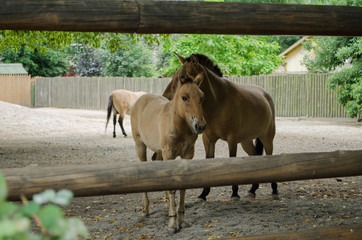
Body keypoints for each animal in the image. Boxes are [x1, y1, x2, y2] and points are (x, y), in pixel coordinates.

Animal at [130, 76, 205, 232]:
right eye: (184, 97)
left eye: (202, 97)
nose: (200, 126)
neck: (178, 125)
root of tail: (141, 99)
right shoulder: (169, 154)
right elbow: (172, 188)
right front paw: (172, 223)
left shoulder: (188, 155)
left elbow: (182, 187)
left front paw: (181, 220)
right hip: (140, 146)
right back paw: (145, 210)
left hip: (159, 152)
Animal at [163, 54, 276, 201]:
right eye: (176, 74)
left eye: (185, 76)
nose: (167, 96)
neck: (219, 102)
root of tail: (266, 96)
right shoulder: (208, 139)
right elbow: (209, 160)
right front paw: (203, 194)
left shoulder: (231, 140)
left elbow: (232, 161)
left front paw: (234, 193)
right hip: (246, 141)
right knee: (255, 156)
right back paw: (252, 189)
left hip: (267, 137)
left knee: (270, 156)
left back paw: (274, 190)